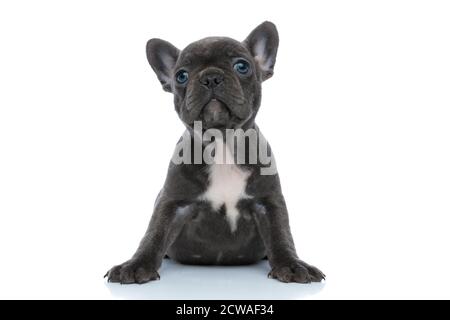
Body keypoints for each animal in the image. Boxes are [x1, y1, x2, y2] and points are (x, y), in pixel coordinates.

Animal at [105, 21, 324, 284]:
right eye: (181, 76)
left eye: (242, 66)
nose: (210, 77)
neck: (222, 144)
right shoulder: (172, 203)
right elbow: (154, 234)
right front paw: (136, 265)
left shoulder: (268, 202)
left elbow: (281, 234)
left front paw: (292, 265)